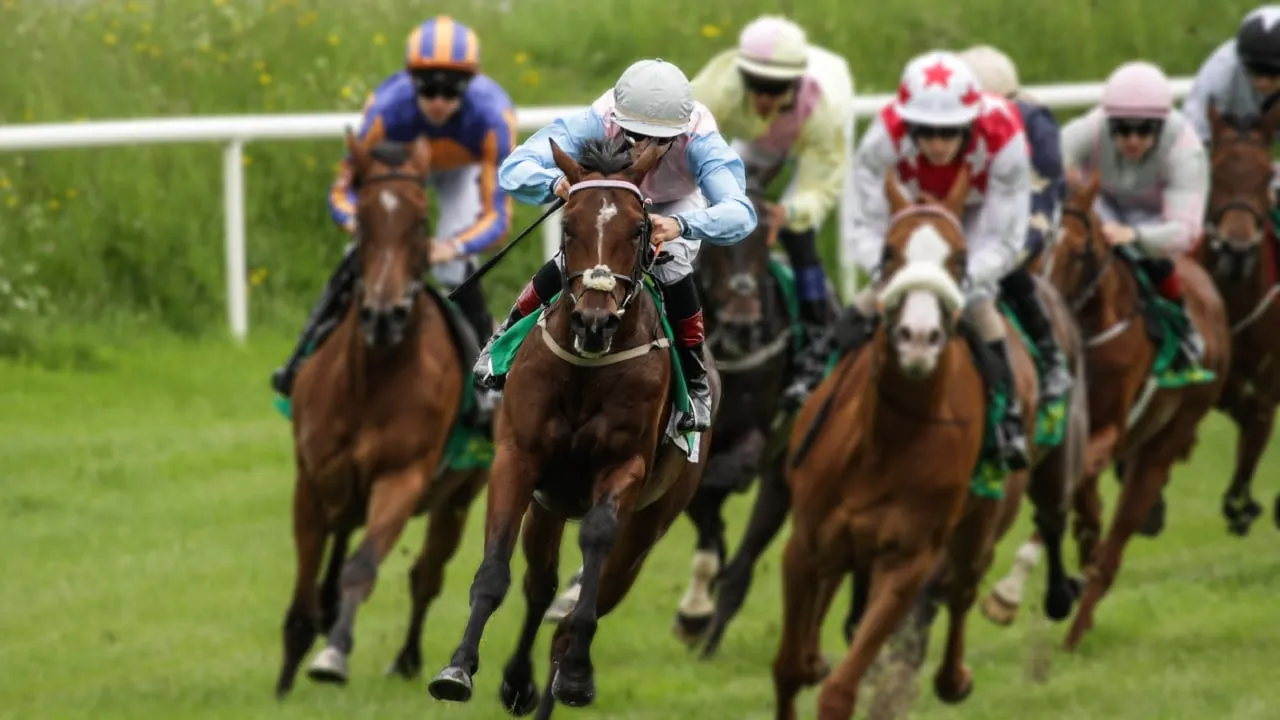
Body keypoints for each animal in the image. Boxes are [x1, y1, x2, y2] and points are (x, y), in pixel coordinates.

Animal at [274, 134, 489, 697]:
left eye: (420, 220)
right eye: (364, 220)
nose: (384, 316)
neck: (369, 379)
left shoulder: (402, 477)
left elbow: (362, 566)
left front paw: (333, 655)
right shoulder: (310, 479)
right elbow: (304, 589)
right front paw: (284, 681)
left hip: (458, 497)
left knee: (426, 576)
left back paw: (408, 658)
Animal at [426, 135, 719, 718]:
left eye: (639, 228)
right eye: (568, 228)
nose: (594, 321)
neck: (587, 370)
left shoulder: (622, 469)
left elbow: (593, 557)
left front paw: (578, 678)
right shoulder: (519, 460)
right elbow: (495, 572)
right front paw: (457, 668)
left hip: (649, 524)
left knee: (583, 609)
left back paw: (562, 678)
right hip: (550, 506)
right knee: (540, 586)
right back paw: (518, 682)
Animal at [771, 169, 1040, 720]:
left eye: (959, 258)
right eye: (889, 251)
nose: (919, 337)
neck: (886, 442)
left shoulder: (906, 563)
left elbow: (840, 690)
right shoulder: (804, 544)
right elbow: (787, 668)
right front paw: (805, 661)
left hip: (982, 522)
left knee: (962, 588)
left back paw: (953, 676)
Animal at [983, 171, 1230, 650]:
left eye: (1079, 251)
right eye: (1037, 249)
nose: (1047, 304)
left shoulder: (1111, 428)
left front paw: (1010, 593)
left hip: (1163, 443)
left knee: (1115, 545)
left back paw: (1077, 626)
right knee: (1093, 518)